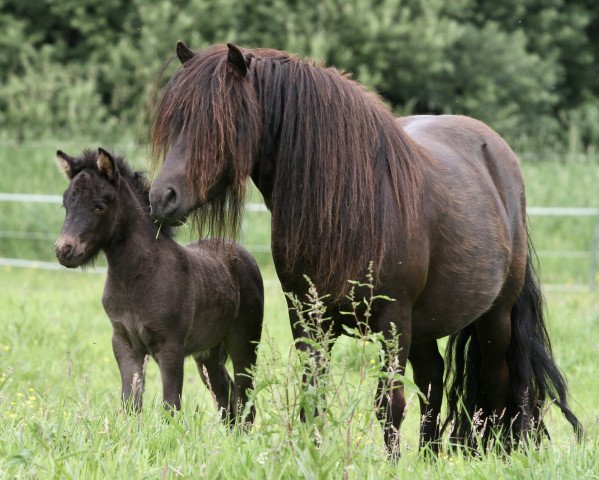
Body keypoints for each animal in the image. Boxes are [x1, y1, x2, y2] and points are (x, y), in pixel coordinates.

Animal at [55, 148, 264, 422]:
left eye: (100, 205)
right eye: (66, 203)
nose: (64, 250)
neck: (137, 277)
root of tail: (244, 253)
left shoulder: (171, 347)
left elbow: (170, 407)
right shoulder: (125, 344)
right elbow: (130, 404)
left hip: (245, 342)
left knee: (244, 398)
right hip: (208, 352)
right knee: (224, 395)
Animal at [148, 43, 584, 452]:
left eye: (218, 121)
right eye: (176, 121)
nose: (162, 198)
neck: (351, 208)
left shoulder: (393, 321)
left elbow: (389, 406)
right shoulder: (308, 321)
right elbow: (314, 397)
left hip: (494, 317)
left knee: (499, 383)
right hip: (424, 326)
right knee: (433, 382)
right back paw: (429, 457)